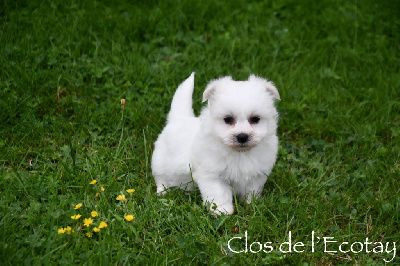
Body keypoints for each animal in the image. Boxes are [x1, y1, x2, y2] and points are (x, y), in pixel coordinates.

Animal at [152, 72, 280, 214]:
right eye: (228, 119)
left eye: (255, 119)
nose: (242, 136)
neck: (239, 153)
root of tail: (178, 119)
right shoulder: (212, 175)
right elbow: (219, 193)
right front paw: (222, 210)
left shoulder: (257, 174)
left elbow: (252, 189)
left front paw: (251, 204)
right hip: (160, 161)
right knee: (161, 177)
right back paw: (163, 191)